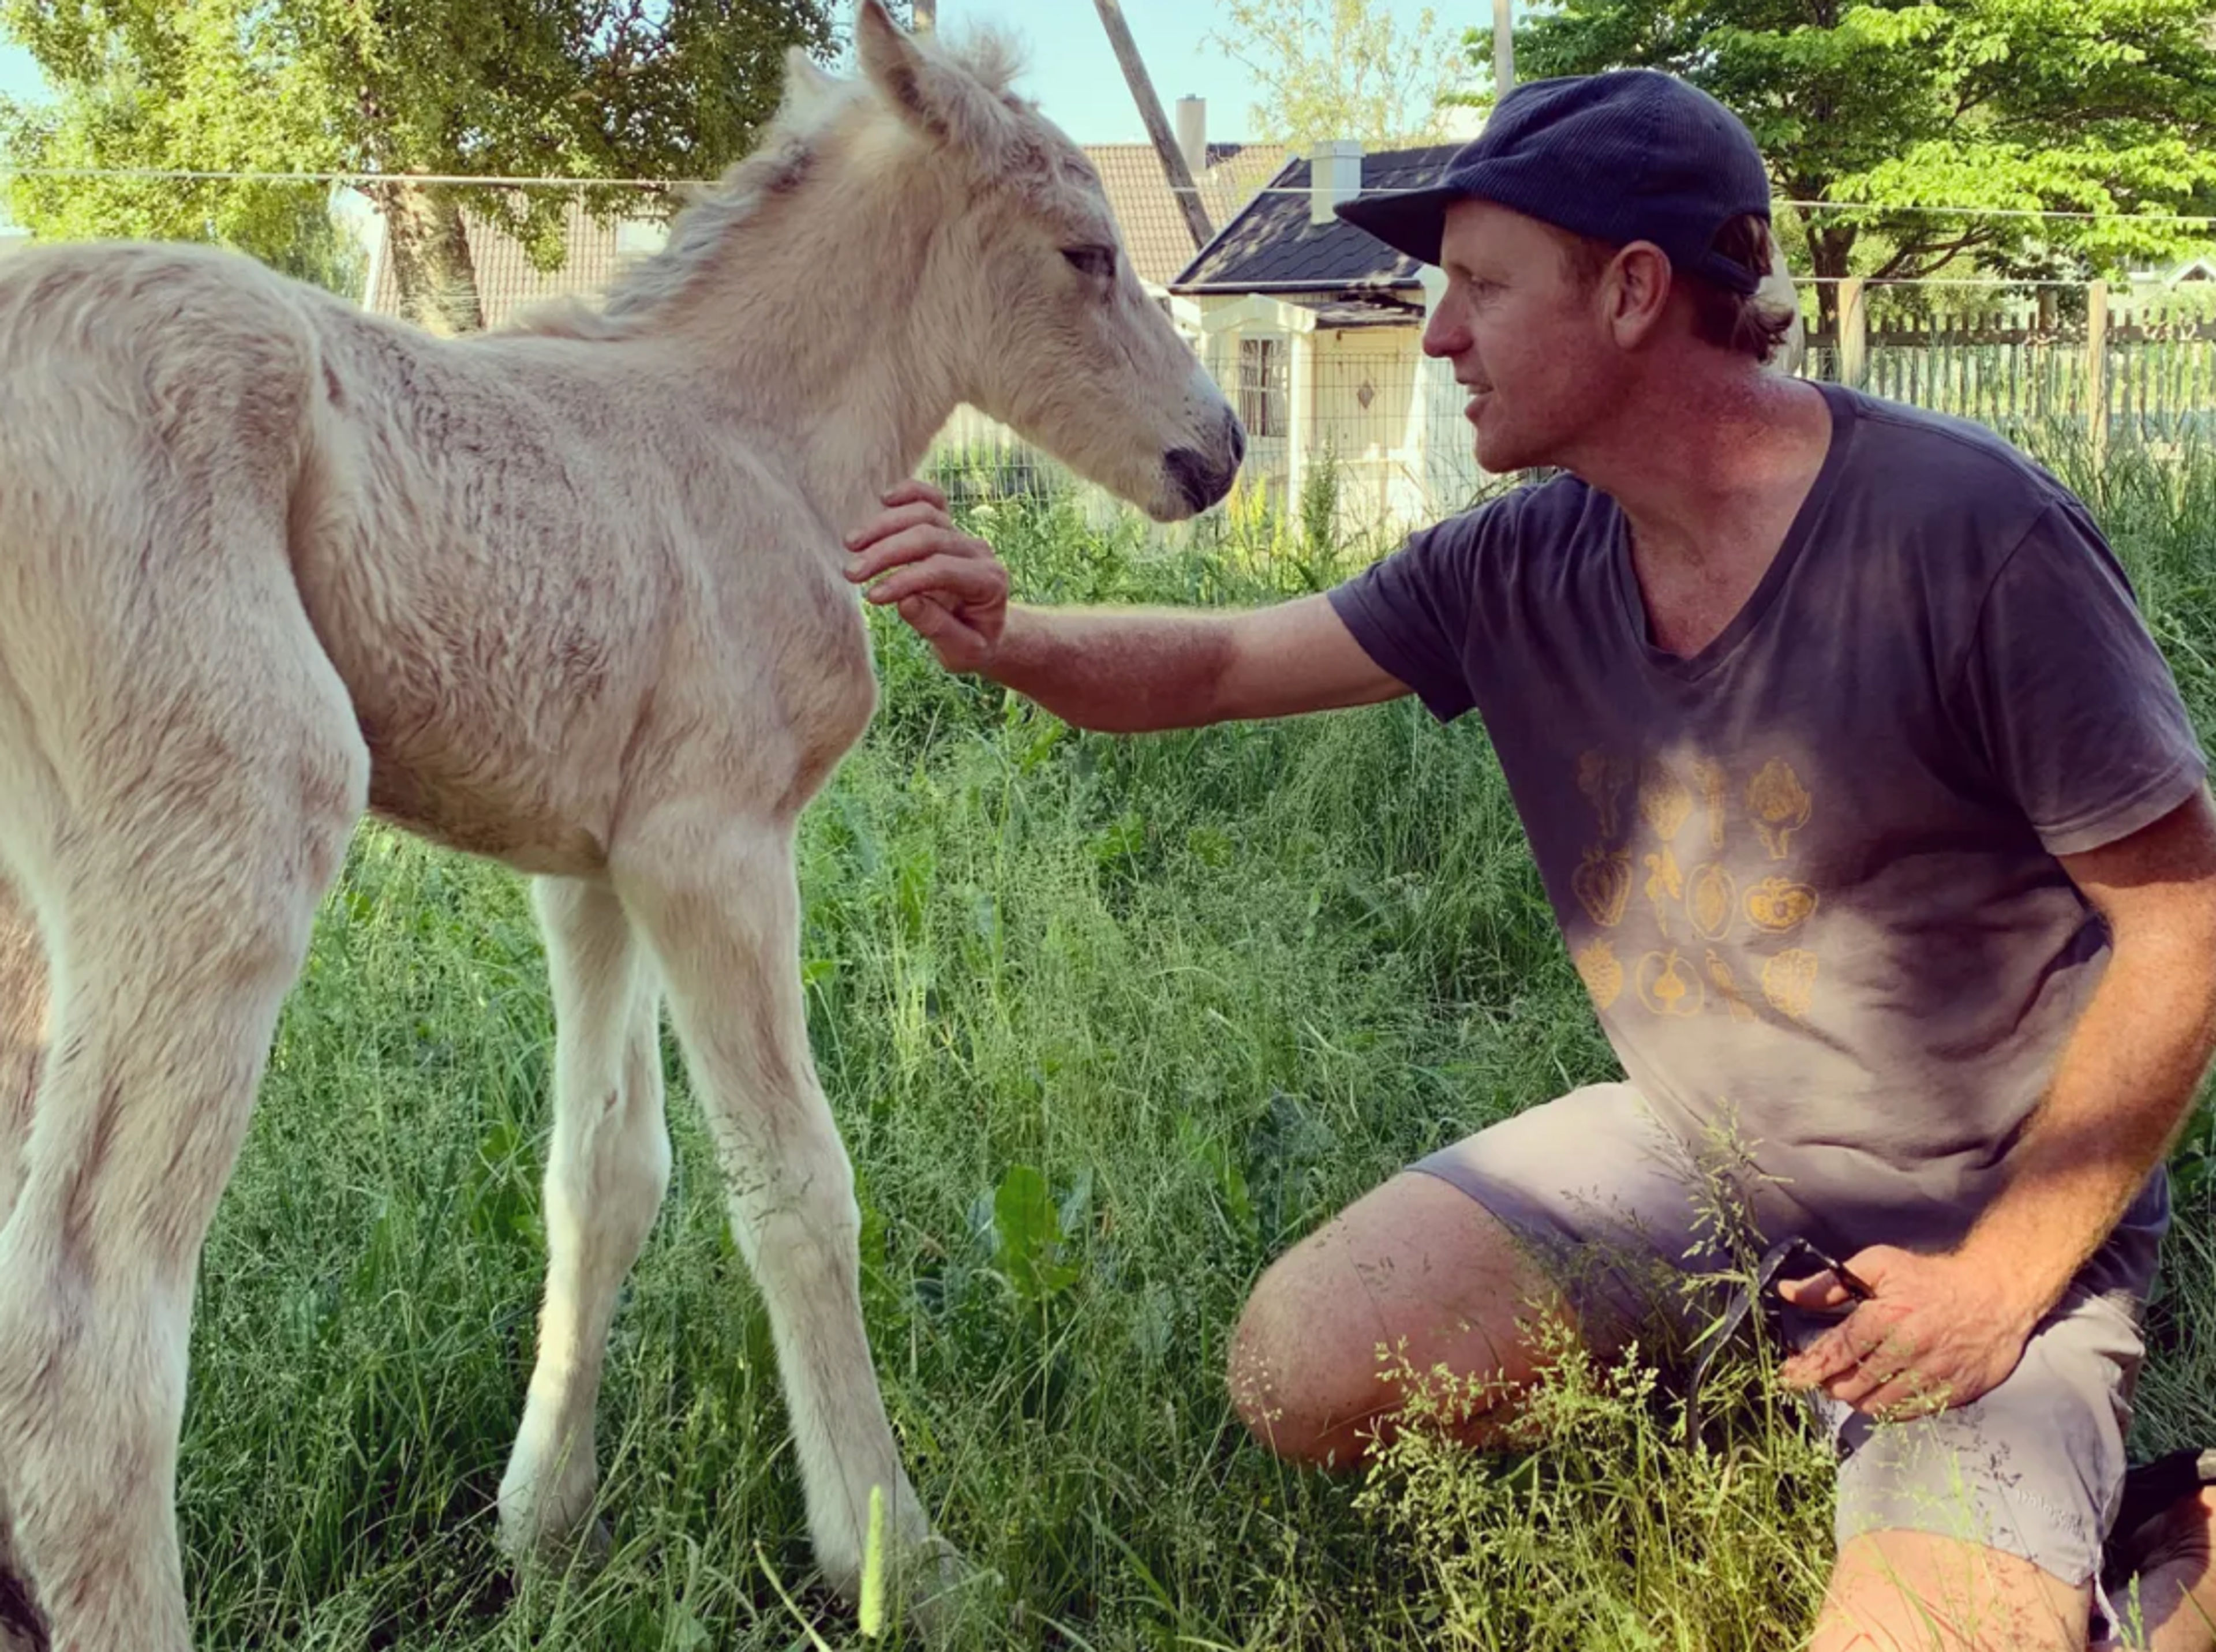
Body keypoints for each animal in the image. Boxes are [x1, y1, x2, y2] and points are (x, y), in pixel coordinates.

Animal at [0, 4, 1244, 1645]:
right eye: (1087, 252)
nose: (1217, 453)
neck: (751, 441)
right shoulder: (714, 848)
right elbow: (795, 1187)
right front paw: (897, 1557)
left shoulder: (591, 871)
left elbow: (602, 1177)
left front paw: (544, 1526)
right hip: (219, 840)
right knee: (83, 1329)